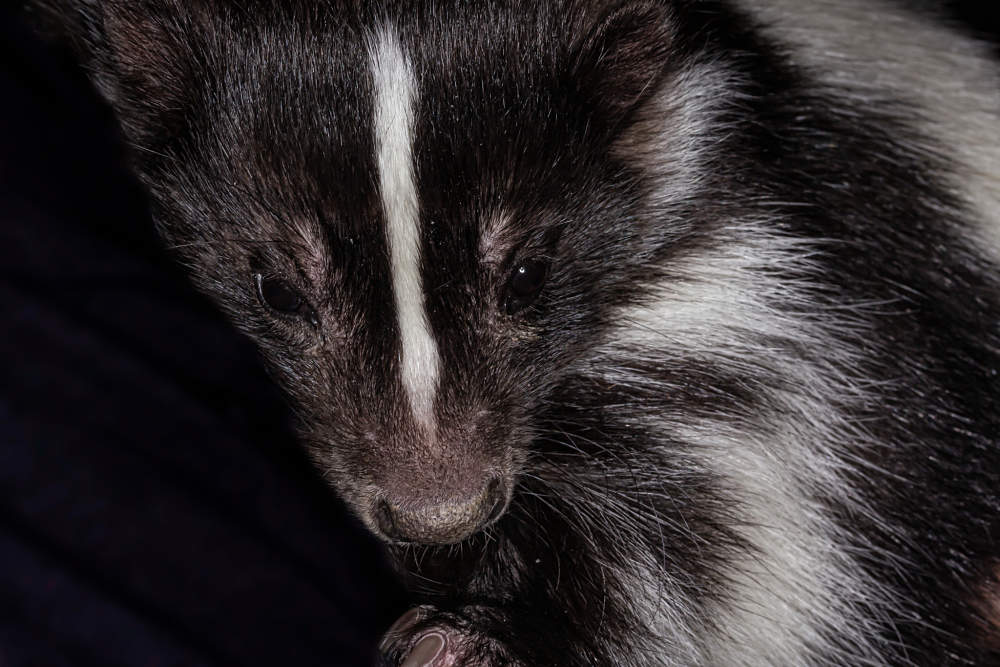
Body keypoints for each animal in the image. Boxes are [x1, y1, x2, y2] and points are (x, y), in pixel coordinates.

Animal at [25, 0, 1000, 664]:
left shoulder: (752, 285)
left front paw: (473, 643)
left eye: (529, 274)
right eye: (277, 288)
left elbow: (764, 537)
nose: (438, 511)